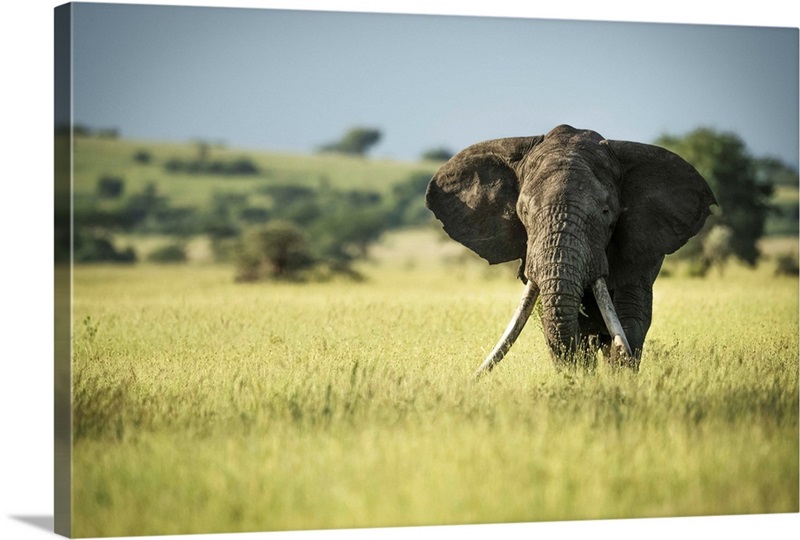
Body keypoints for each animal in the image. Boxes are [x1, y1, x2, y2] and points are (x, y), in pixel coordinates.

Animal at [425, 124, 716, 375]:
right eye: (524, 212)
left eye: (606, 212)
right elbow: (560, 321)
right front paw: (578, 380)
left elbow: (630, 319)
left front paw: (618, 379)